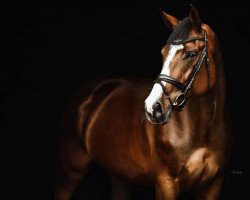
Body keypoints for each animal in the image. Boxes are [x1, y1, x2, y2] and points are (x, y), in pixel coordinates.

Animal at [55, 4, 231, 200]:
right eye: (163, 53)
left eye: (191, 54)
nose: (152, 107)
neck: (200, 133)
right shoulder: (165, 184)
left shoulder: (214, 184)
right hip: (71, 170)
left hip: (120, 175)